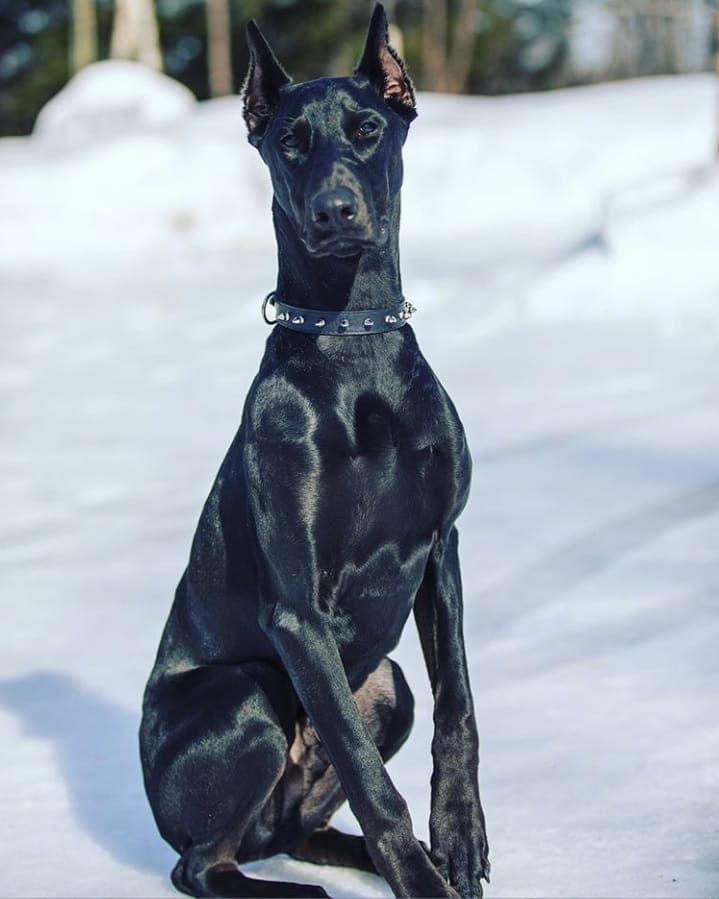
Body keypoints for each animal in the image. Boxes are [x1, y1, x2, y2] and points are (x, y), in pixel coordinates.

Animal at [141, 5, 490, 892]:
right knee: (200, 863)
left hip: (385, 686)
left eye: (368, 129)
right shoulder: (295, 613)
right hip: (247, 692)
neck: (352, 338)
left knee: (299, 824)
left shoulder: (441, 547)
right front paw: (423, 879)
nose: (335, 211)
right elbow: (371, 780)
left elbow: (458, 708)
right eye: (290, 142)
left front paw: (456, 838)